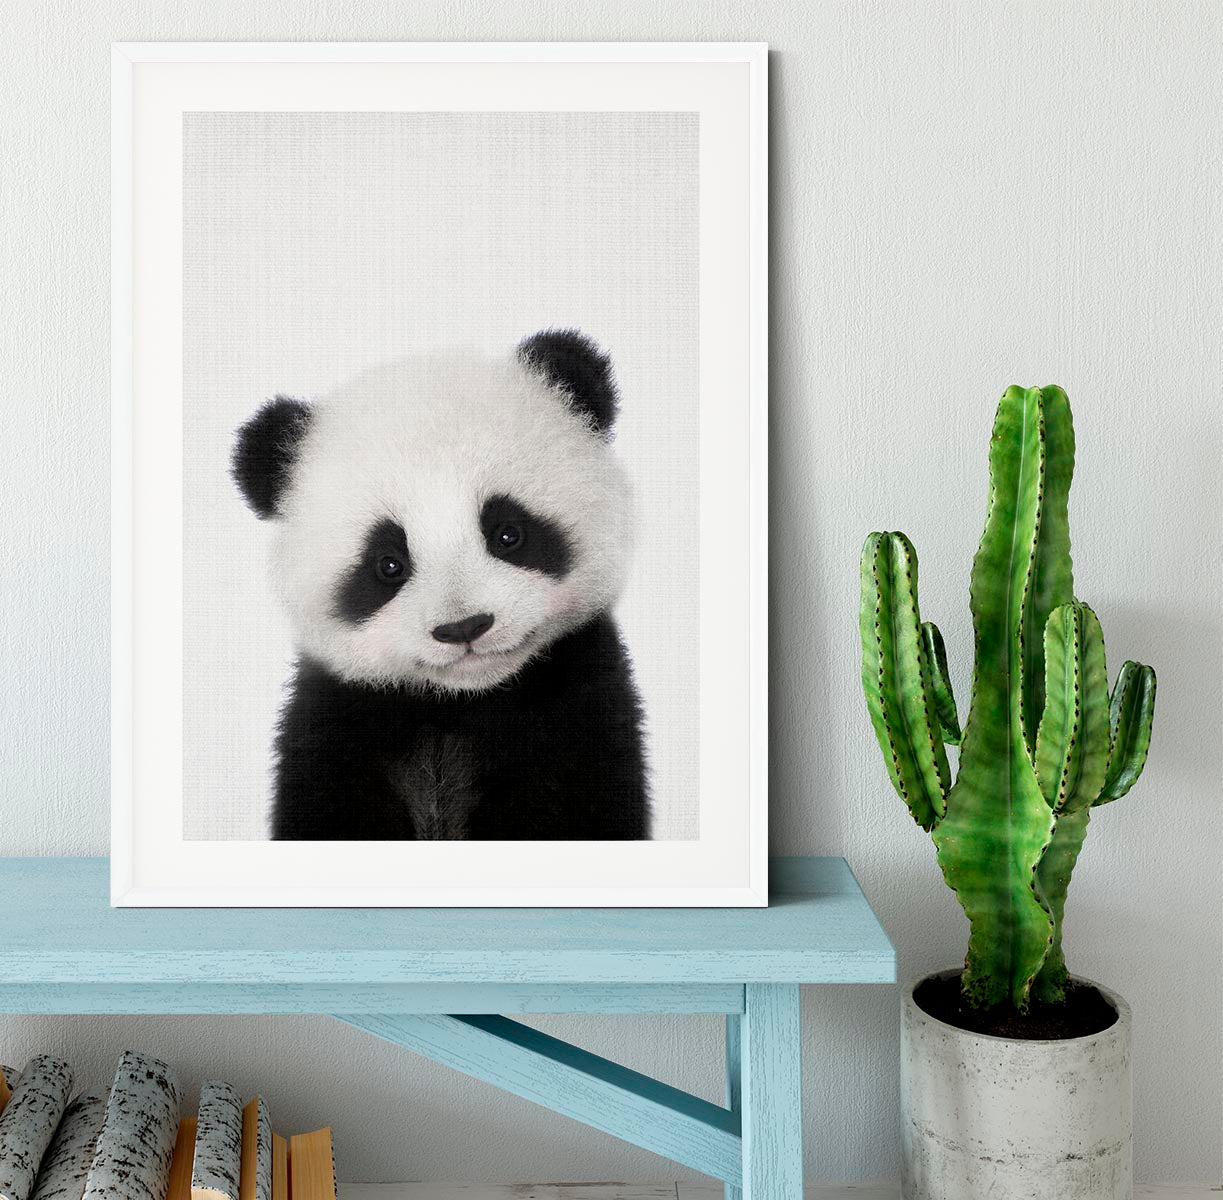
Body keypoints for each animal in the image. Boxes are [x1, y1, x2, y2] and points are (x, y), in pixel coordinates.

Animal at [231, 329, 651, 841]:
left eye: (508, 534)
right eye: (388, 564)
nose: (464, 627)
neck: (458, 705)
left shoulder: (577, 710)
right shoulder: (337, 725)